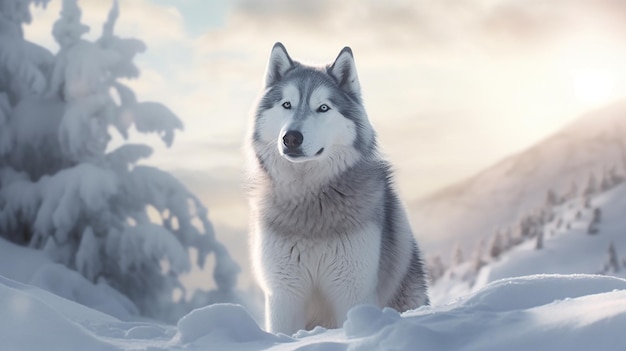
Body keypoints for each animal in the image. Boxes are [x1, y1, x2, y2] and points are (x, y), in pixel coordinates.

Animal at [246, 42, 426, 334]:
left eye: (323, 107)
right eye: (287, 104)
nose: (291, 138)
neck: (308, 199)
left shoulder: (351, 291)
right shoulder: (284, 295)